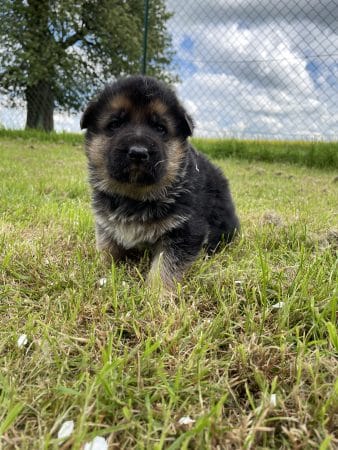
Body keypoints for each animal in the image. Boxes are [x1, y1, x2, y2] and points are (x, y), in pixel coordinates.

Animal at [80, 77, 239, 292]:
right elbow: (106, 248)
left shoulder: (185, 230)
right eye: (115, 124)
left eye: (160, 128)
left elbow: (166, 267)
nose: (138, 153)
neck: (135, 197)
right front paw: (101, 273)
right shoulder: (106, 224)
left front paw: (156, 295)